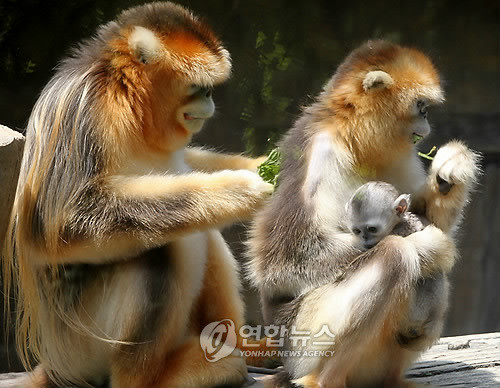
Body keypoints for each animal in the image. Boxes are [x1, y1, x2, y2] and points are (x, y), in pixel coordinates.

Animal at [0, 3, 274, 388]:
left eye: (208, 89)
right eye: (198, 88)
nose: (210, 101)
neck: (124, 97)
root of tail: (52, 367)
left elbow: (185, 165)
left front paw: (274, 165)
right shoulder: (85, 111)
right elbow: (64, 223)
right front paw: (243, 190)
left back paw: (238, 345)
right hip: (80, 347)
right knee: (158, 251)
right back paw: (155, 378)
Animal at [247, 40, 480, 388]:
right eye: (420, 107)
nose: (425, 125)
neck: (350, 137)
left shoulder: (398, 153)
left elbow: (424, 216)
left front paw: (451, 169)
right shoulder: (321, 152)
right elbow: (284, 263)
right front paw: (428, 245)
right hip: (303, 339)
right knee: (395, 256)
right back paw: (322, 379)